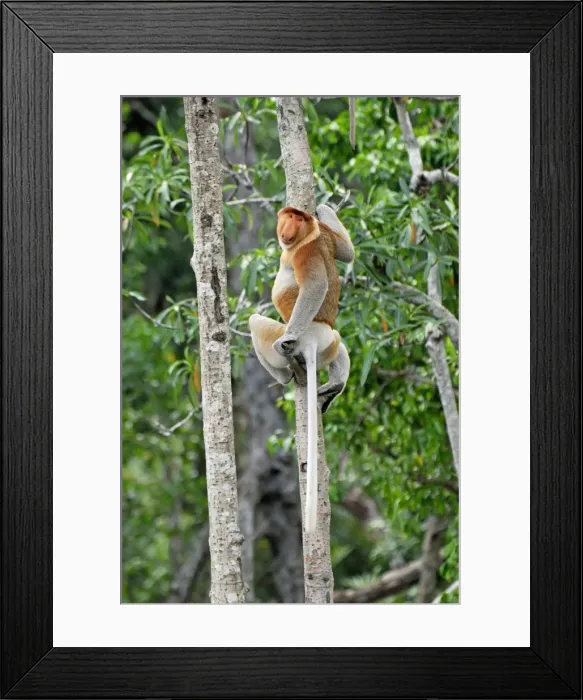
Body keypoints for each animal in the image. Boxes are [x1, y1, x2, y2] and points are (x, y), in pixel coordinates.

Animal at [249, 203, 353, 533]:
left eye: (296, 219)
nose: (287, 228)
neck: (307, 235)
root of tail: (313, 339)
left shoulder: (302, 255)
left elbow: (315, 286)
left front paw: (287, 340)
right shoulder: (327, 236)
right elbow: (346, 252)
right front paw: (322, 207)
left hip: (286, 336)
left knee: (256, 323)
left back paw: (287, 372)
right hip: (330, 340)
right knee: (341, 346)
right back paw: (333, 387)